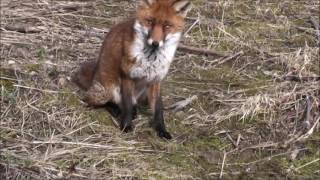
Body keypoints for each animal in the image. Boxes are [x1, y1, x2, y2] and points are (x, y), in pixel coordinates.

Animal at [73, 0, 190, 139]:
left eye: (167, 25)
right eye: (150, 21)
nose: (155, 43)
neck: (150, 59)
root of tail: (94, 74)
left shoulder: (156, 80)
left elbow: (158, 109)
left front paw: (161, 130)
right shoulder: (127, 76)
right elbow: (127, 104)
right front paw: (126, 126)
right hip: (107, 91)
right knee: (91, 100)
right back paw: (116, 110)